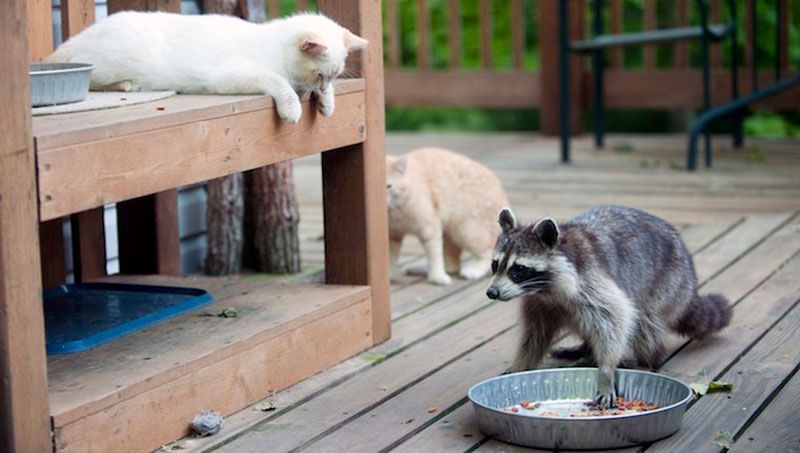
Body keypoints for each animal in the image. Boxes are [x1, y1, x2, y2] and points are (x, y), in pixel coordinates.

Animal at [47, 12, 366, 122]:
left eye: (331, 77)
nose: (321, 86)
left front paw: (327, 101)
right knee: (93, 80)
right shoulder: (231, 76)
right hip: (114, 62)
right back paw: (127, 85)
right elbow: (279, 82)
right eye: (319, 75)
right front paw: (293, 108)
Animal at [388, 147, 512, 284]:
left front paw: (438, 277)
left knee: (487, 252)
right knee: (452, 263)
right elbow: (391, 258)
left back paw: (473, 271)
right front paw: (389, 275)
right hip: (450, 233)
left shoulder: (430, 228)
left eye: (389, 186)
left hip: (466, 231)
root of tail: (502, 193)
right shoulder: (393, 235)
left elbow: (435, 255)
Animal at [488, 205, 732, 406]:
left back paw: (647, 360)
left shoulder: (589, 279)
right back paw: (585, 348)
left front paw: (606, 371)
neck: (544, 290)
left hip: (669, 283)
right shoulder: (539, 304)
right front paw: (521, 365)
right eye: (495, 264)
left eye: (518, 269)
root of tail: (691, 281)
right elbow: (534, 336)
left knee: (644, 322)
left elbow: (615, 316)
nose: (492, 292)